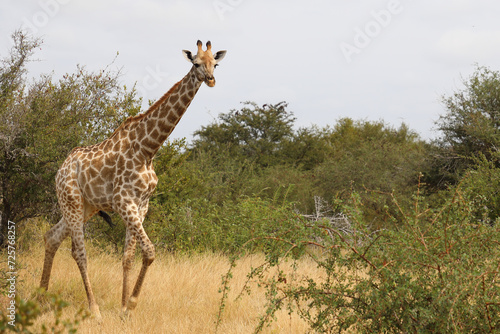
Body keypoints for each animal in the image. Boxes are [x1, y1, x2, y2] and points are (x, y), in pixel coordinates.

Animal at [40, 40, 226, 320]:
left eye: (215, 63)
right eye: (195, 63)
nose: (212, 80)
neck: (148, 149)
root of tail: (61, 168)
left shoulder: (141, 205)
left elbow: (128, 256)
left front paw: (123, 307)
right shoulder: (123, 201)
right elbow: (149, 251)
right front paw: (132, 305)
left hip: (86, 206)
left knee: (52, 236)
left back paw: (39, 296)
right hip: (71, 200)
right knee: (79, 251)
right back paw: (93, 309)